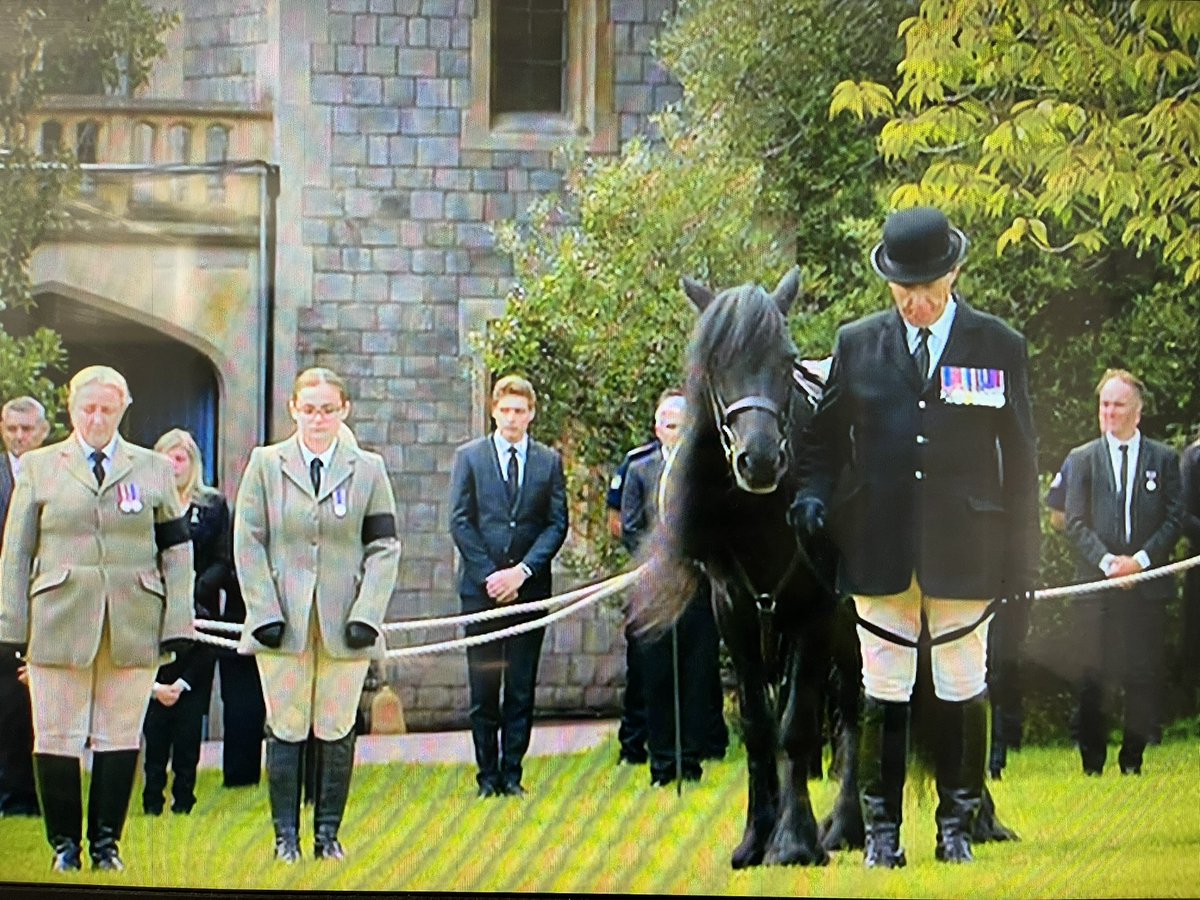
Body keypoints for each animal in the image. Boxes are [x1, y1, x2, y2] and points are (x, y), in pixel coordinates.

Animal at [630, 267, 862, 868]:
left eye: (785, 359)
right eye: (714, 364)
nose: (757, 460)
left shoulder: (816, 609)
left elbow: (797, 726)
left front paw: (795, 840)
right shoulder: (733, 609)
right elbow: (760, 725)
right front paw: (757, 835)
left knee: (862, 703)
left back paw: (850, 824)